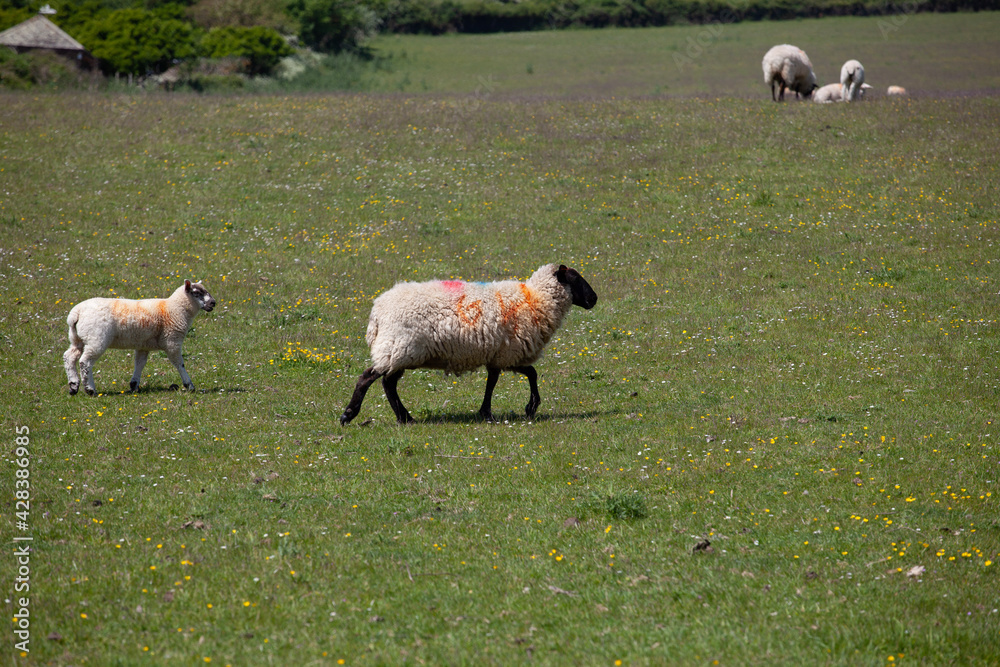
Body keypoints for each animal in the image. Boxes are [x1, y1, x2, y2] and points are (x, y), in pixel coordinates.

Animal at [63, 280, 216, 396]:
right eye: (196, 293)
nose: (213, 303)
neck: (175, 309)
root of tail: (76, 313)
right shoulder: (172, 341)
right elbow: (179, 364)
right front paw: (189, 385)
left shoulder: (143, 345)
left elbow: (140, 364)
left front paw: (134, 385)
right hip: (96, 339)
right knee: (85, 362)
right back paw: (90, 390)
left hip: (77, 339)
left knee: (69, 356)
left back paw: (73, 386)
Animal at [340, 264, 597, 425]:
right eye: (575, 279)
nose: (594, 299)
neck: (535, 300)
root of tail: (377, 313)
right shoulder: (507, 352)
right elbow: (509, 379)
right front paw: (504, 411)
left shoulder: (502, 354)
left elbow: (517, 376)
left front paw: (517, 409)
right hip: (398, 347)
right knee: (370, 378)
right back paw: (349, 415)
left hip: (398, 351)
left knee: (388, 382)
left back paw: (405, 418)